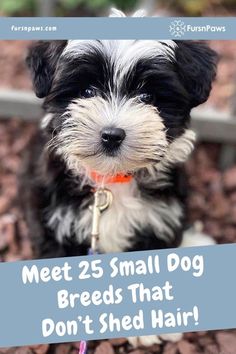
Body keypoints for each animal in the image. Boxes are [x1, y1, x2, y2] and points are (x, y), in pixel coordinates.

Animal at [22, 9, 218, 348]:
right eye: (87, 91)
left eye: (147, 96)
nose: (112, 135)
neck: (113, 181)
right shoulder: (51, 217)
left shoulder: (159, 218)